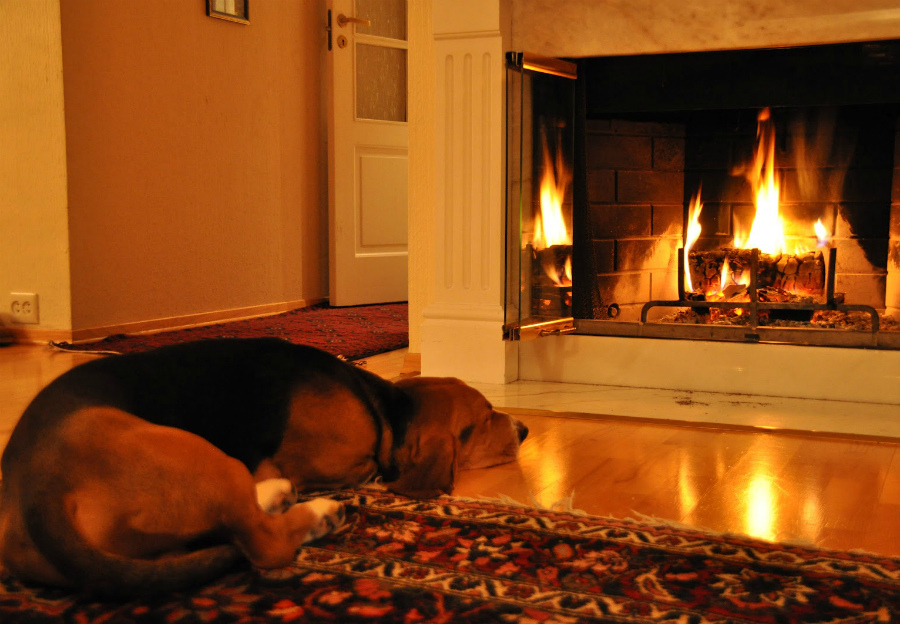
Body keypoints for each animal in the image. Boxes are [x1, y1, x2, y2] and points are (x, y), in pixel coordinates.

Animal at [0, 337, 527, 596]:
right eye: (486, 417)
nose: (523, 429)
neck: (385, 408)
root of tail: (37, 489)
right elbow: (366, 470)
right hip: (204, 457)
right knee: (262, 541)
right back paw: (317, 513)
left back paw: (274, 493)